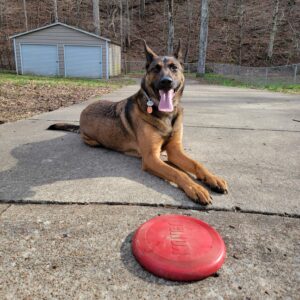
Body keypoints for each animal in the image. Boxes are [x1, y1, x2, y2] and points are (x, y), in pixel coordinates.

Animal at [48, 40, 227, 204]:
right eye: (156, 69)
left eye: (174, 68)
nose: (166, 81)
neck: (164, 114)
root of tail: (84, 110)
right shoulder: (150, 158)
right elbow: (178, 172)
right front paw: (195, 188)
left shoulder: (175, 150)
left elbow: (197, 164)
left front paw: (213, 178)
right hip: (92, 140)